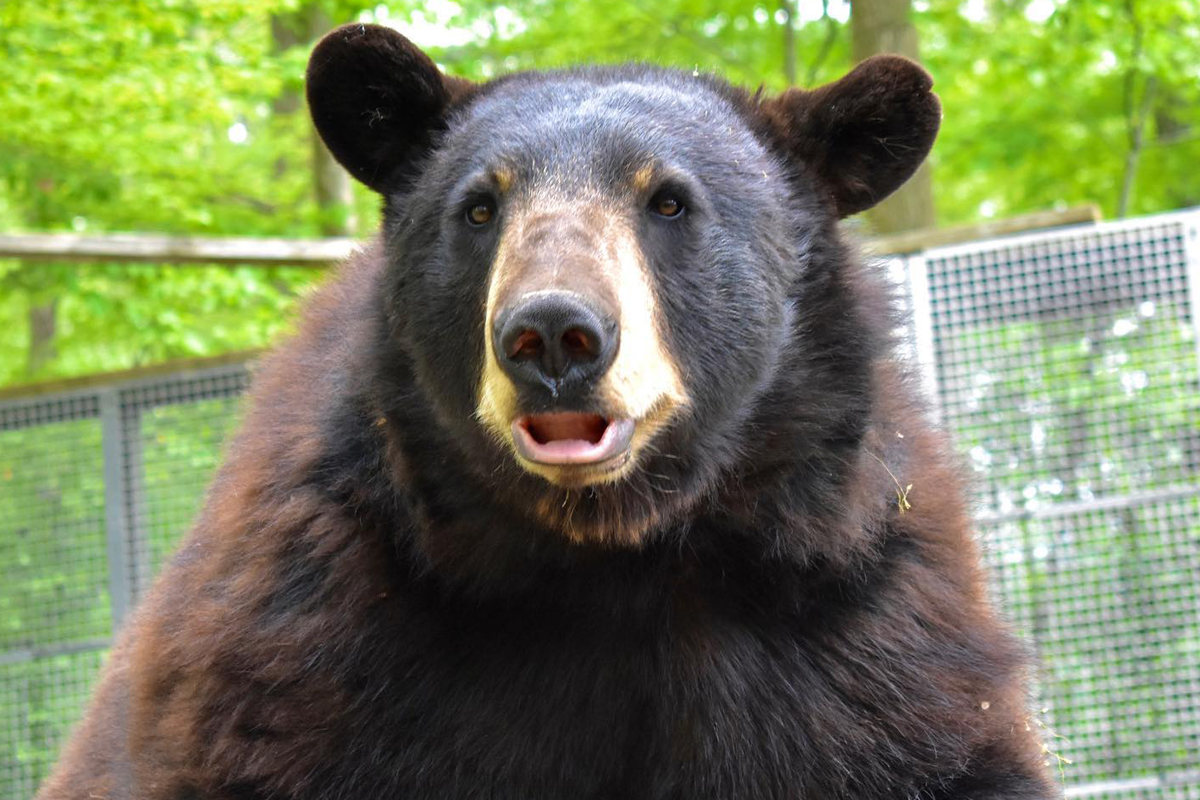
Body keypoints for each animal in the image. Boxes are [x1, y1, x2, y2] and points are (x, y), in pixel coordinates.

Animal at [36, 22, 1057, 800]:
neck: (610, 560)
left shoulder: (860, 641)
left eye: (669, 201)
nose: (553, 336)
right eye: (479, 207)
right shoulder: (301, 644)